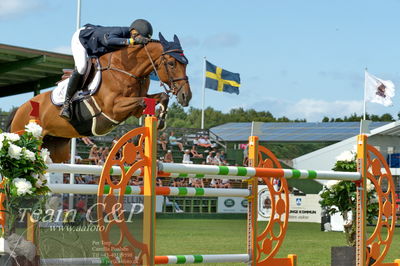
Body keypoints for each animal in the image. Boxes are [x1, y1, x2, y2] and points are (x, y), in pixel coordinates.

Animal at [8, 33, 191, 162]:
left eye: (186, 63)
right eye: (172, 64)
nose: (186, 96)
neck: (127, 69)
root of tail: (20, 109)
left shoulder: (135, 108)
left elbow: (161, 97)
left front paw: (160, 121)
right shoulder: (113, 109)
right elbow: (143, 101)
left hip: (55, 147)